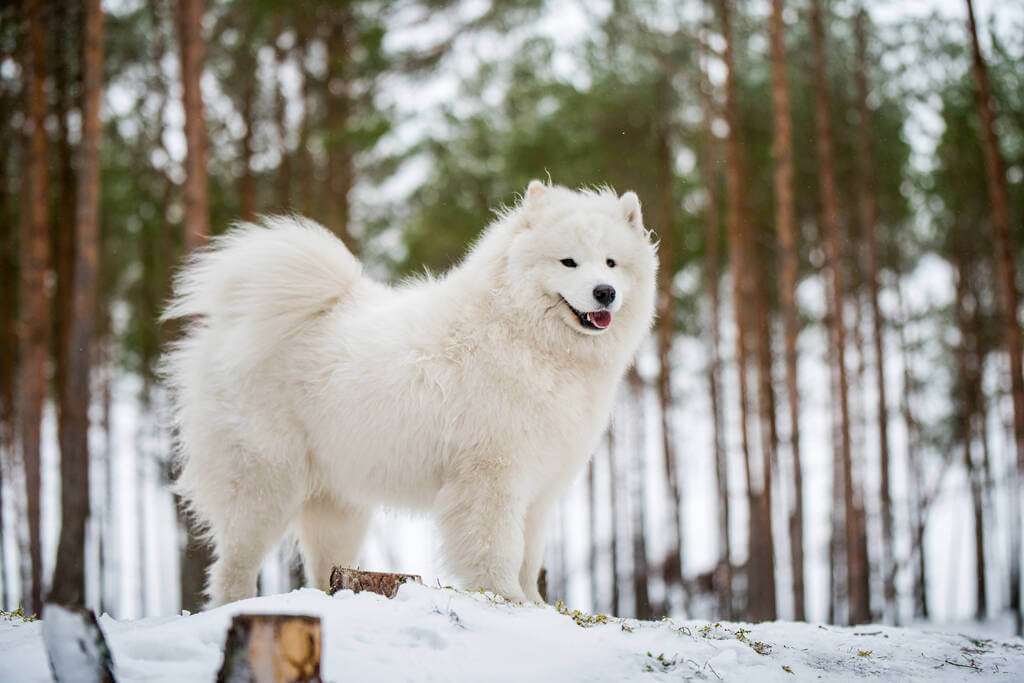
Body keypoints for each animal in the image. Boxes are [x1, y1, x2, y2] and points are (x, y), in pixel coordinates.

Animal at [159, 180, 655, 602]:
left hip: (338, 500)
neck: (523, 336)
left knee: (325, 566)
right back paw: (238, 605)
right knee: (234, 567)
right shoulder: (492, 476)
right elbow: (498, 549)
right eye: (568, 262)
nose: (605, 292)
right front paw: (505, 599)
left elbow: (529, 558)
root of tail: (233, 320)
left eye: (611, 263)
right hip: (264, 483)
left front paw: (534, 606)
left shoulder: (541, 486)